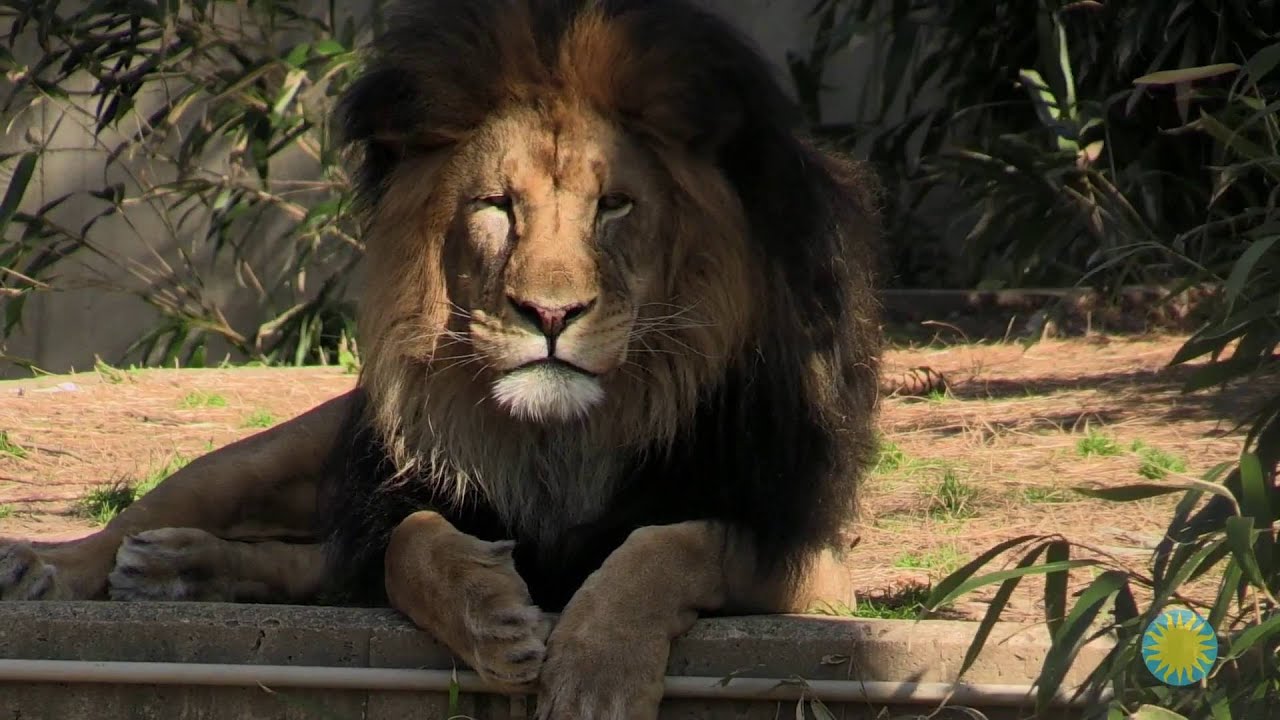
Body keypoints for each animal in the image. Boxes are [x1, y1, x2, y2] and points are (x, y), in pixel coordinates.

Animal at [0, 0, 883, 717]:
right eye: (497, 206)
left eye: (615, 207)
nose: (551, 314)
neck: (563, 442)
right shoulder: (403, 494)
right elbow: (408, 542)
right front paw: (491, 615)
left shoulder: (801, 550)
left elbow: (674, 544)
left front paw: (597, 672)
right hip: (282, 452)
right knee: (170, 514)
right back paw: (56, 569)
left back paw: (177, 570)